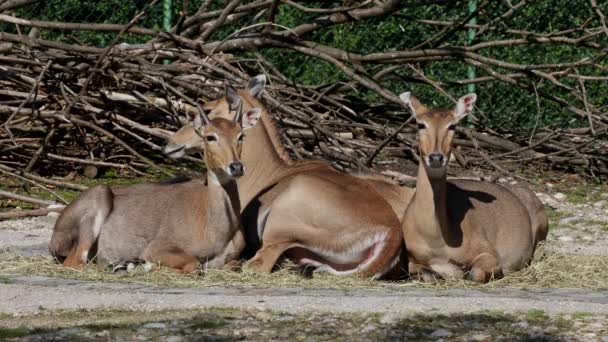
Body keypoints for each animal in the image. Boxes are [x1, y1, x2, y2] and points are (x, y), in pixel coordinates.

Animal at [48, 103, 262, 272]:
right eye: (210, 137)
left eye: (241, 135)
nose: (236, 167)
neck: (216, 229)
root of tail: (54, 238)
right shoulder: (156, 248)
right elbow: (194, 264)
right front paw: (149, 266)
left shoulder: (232, 259)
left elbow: (236, 265)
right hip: (99, 196)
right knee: (76, 262)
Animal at [167, 75, 414, 278]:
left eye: (208, 111)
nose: (170, 144)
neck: (269, 172)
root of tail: (390, 233)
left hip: (279, 223)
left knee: (257, 264)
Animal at [400, 91, 548, 284]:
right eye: (420, 124)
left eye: (453, 125)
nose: (436, 158)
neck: (435, 238)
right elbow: (425, 273)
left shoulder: (488, 252)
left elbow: (474, 273)